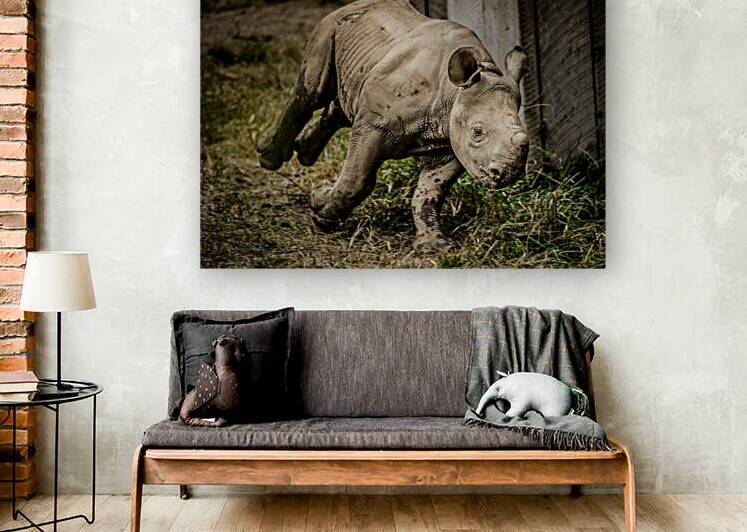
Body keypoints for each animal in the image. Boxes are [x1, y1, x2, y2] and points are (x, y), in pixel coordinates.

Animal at [258, 0, 529, 250]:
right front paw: (322, 217)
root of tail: (353, 4)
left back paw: (304, 154)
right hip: (331, 25)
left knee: (343, 106)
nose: (508, 174)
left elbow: (429, 193)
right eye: (477, 132)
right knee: (312, 94)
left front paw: (435, 244)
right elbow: (358, 180)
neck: (452, 92)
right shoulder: (374, 125)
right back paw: (269, 158)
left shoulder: (450, 144)